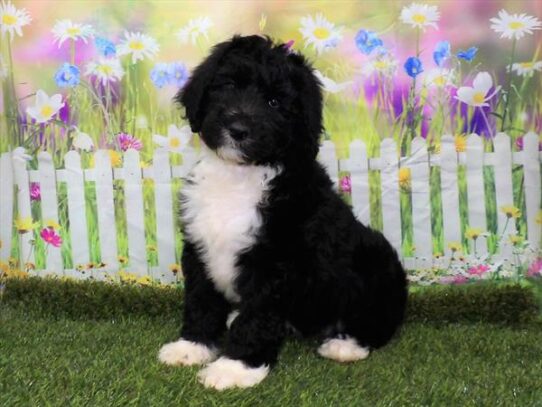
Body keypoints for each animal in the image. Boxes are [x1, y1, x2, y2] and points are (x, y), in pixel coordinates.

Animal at [157, 35, 408, 392]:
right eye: (228, 86)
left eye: (275, 102)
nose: (238, 128)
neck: (239, 175)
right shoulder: (199, 247)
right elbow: (200, 300)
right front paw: (192, 346)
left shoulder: (275, 263)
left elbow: (257, 316)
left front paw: (234, 367)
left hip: (377, 259)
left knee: (379, 320)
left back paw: (345, 344)